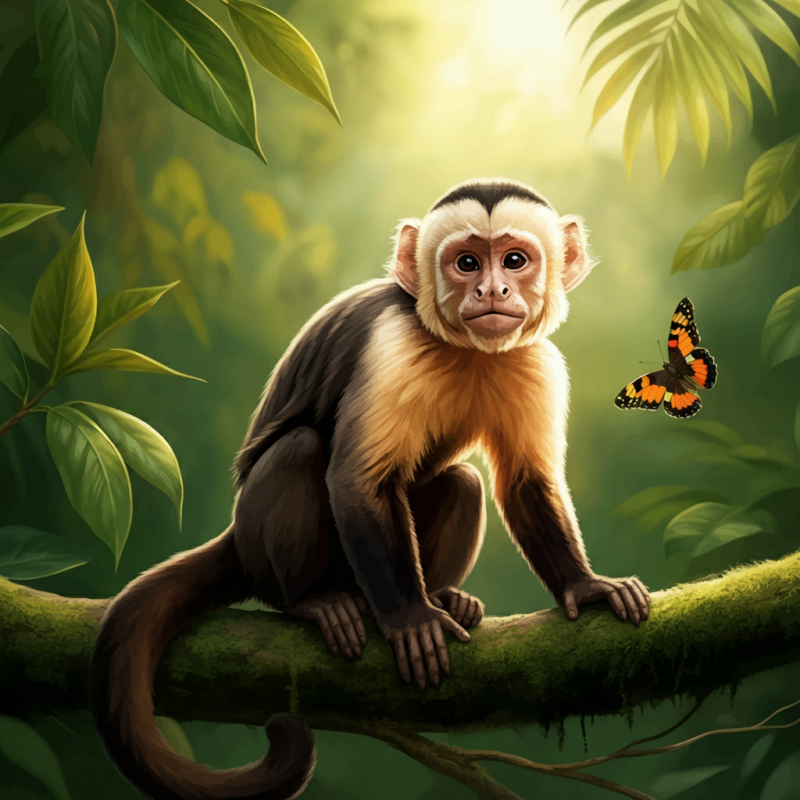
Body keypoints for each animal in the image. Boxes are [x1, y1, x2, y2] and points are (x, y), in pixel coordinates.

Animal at [90, 178, 651, 800]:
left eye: (515, 260)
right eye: (466, 263)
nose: (492, 289)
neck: (464, 349)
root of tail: (236, 536)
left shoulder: (536, 363)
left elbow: (525, 483)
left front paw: (584, 587)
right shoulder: (392, 349)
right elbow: (358, 480)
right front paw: (410, 619)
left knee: (462, 483)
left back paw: (445, 595)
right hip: (265, 552)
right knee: (300, 451)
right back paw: (313, 602)